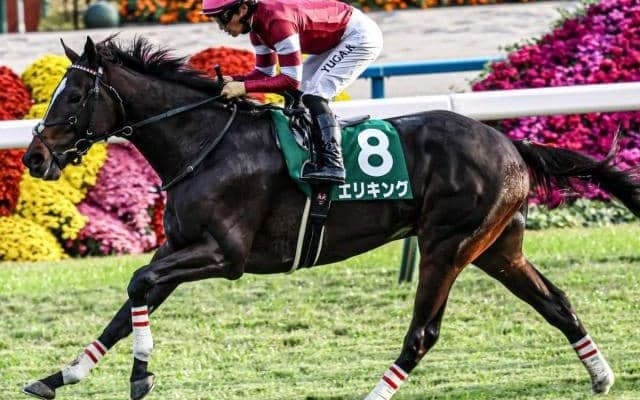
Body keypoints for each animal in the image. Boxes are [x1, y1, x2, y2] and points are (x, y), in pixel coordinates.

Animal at [20, 36, 640, 400]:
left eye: (72, 96)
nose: (33, 157)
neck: (205, 143)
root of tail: (508, 141)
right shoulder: (179, 247)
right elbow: (128, 306)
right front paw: (60, 376)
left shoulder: (224, 255)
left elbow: (137, 282)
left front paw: (140, 375)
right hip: (497, 247)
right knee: (556, 302)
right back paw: (602, 374)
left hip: (449, 244)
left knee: (423, 333)